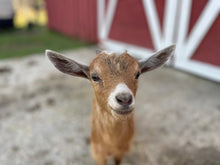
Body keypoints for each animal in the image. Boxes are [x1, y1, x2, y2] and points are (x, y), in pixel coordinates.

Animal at [46, 45, 175, 165]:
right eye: (94, 77)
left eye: (137, 74)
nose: (124, 99)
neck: (112, 143)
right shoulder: (98, 153)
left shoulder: (121, 151)